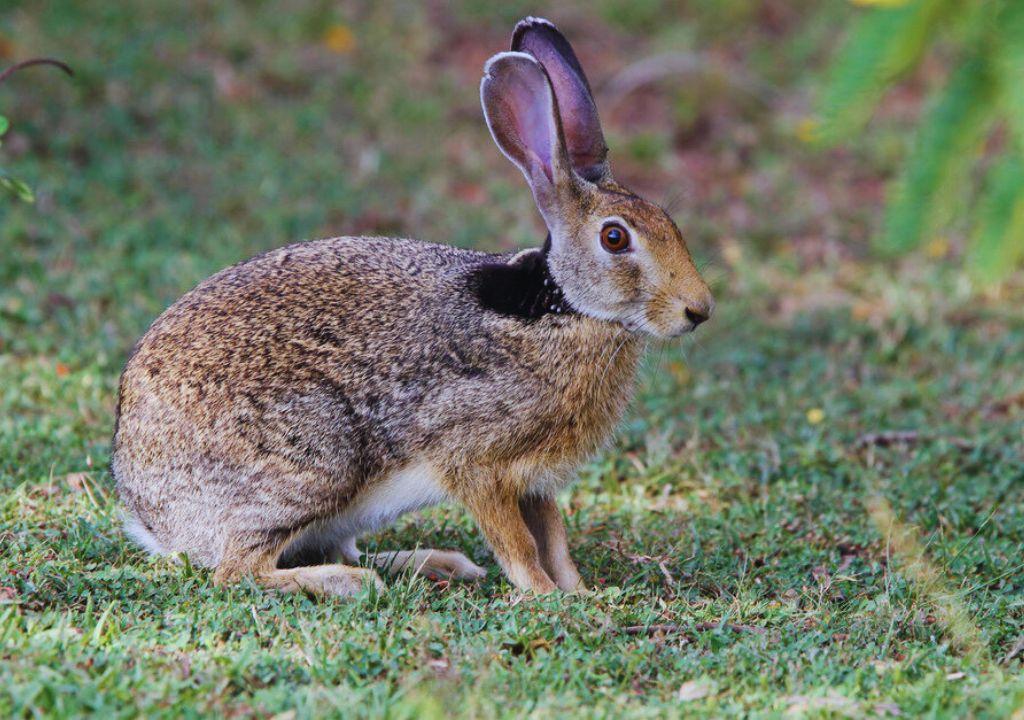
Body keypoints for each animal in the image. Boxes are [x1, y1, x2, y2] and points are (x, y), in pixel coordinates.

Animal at [112, 16, 714, 597]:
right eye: (615, 239)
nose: (699, 310)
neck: (563, 309)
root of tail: (149, 513)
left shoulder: (533, 479)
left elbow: (554, 538)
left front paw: (580, 593)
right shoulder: (475, 460)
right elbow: (519, 542)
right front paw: (546, 596)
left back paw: (439, 565)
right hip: (314, 460)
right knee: (239, 569)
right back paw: (351, 584)